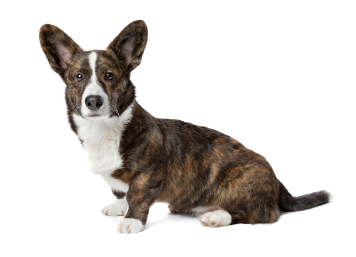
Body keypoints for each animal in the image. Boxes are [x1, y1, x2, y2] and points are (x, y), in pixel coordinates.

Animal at [39, 20, 330, 232]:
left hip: (242, 182)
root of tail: (278, 182)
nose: (94, 101)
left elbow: (137, 195)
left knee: (260, 214)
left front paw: (131, 220)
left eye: (109, 76)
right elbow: (120, 191)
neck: (106, 129)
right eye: (78, 77)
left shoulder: (149, 173)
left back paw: (217, 216)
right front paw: (118, 206)